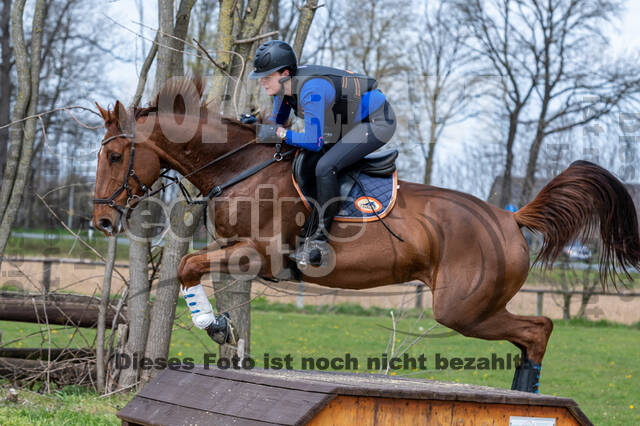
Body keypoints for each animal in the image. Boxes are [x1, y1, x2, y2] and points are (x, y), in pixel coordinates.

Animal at [91, 80, 640, 392]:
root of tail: (510, 218)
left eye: (115, 155)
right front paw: (218, 323)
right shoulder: (234, 249)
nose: (102, 221)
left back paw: (526, 396)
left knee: (537, 329)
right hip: (473, 305)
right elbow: (191, 268)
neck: (241, 167)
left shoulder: (260, 255)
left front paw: (216, 326)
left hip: (463, 307)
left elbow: (188, 264)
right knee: (534, 331)